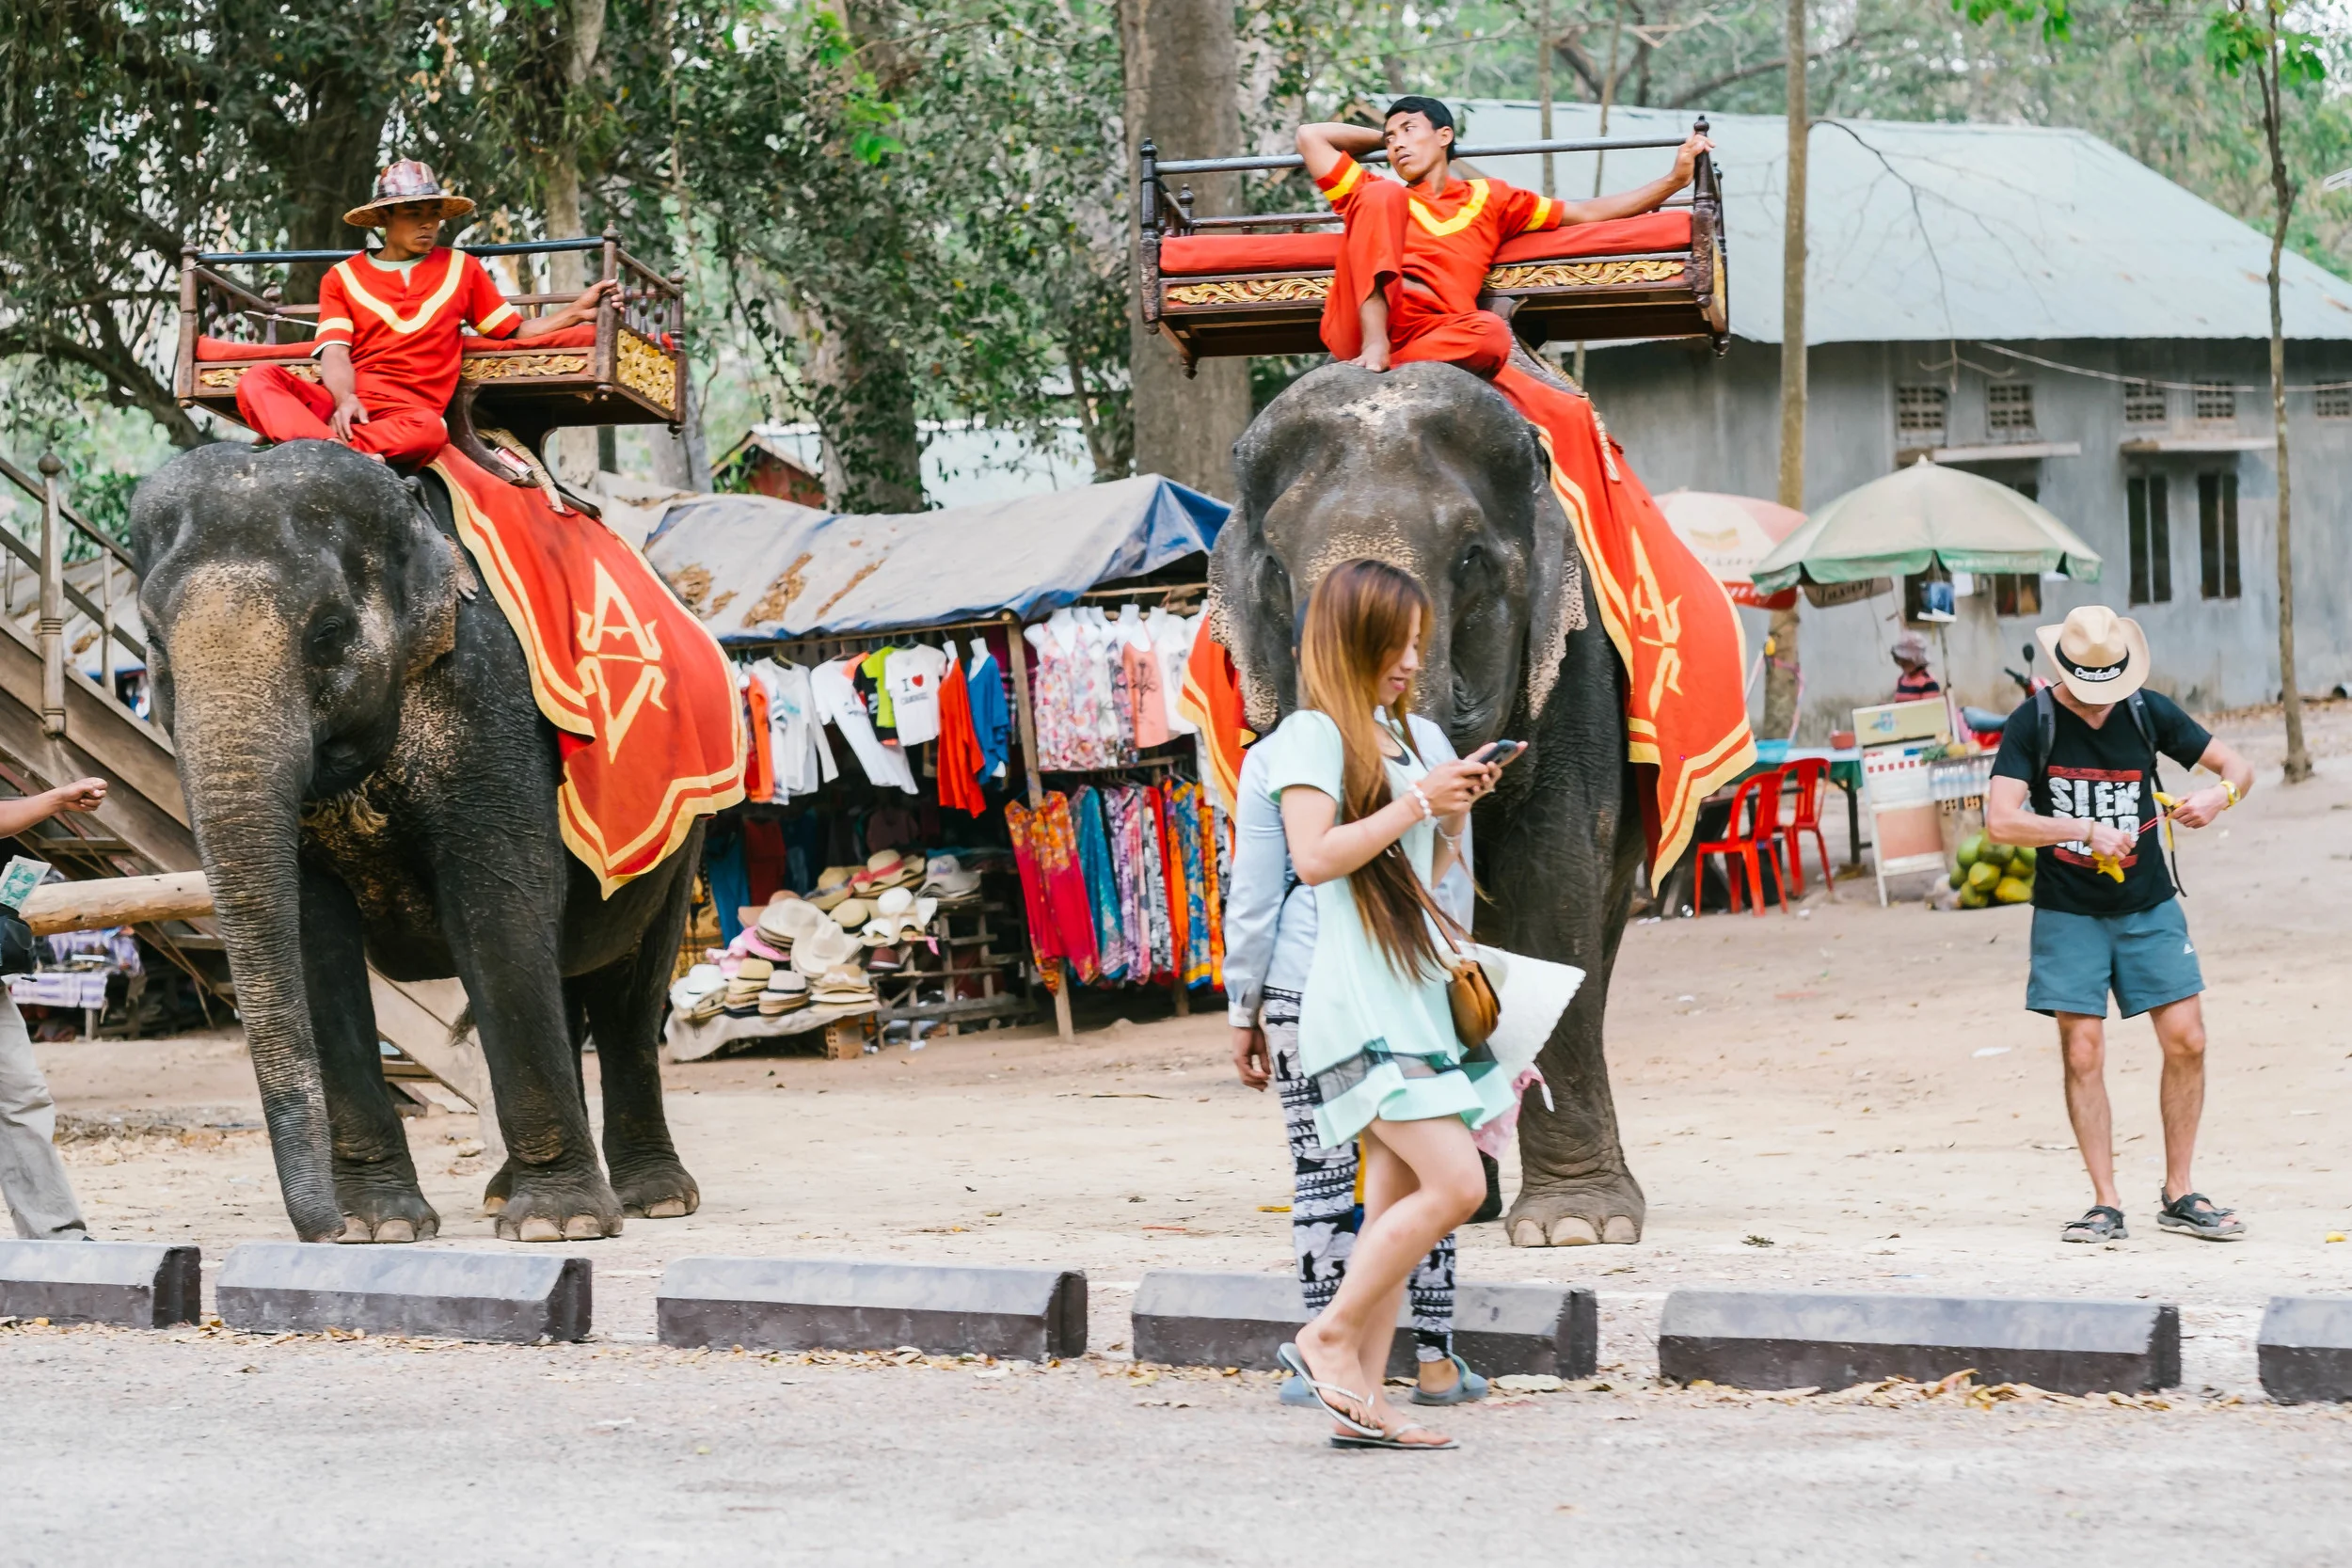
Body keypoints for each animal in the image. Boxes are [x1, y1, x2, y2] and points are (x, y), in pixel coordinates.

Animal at [129, 440, 702, 1244]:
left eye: (329, 632)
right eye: (153, 640)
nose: (321, 1232)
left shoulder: (489, 701)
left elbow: (500, 915)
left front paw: (557, 1224)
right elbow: (313, 940)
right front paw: (379, 1227)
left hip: (681, 834)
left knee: (627, 987)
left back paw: (651, 1200)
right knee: (568, 978)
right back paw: (506, 1193)